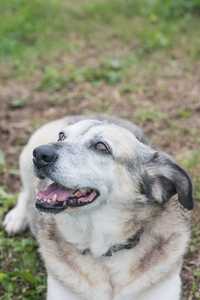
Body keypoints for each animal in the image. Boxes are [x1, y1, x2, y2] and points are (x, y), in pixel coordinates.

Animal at [3, 115, 193, 300]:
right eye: (61, 136)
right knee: (26, 192)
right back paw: (16, 218)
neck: (104, 251)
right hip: (27, 159)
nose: (40, 154)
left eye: (101, 147)